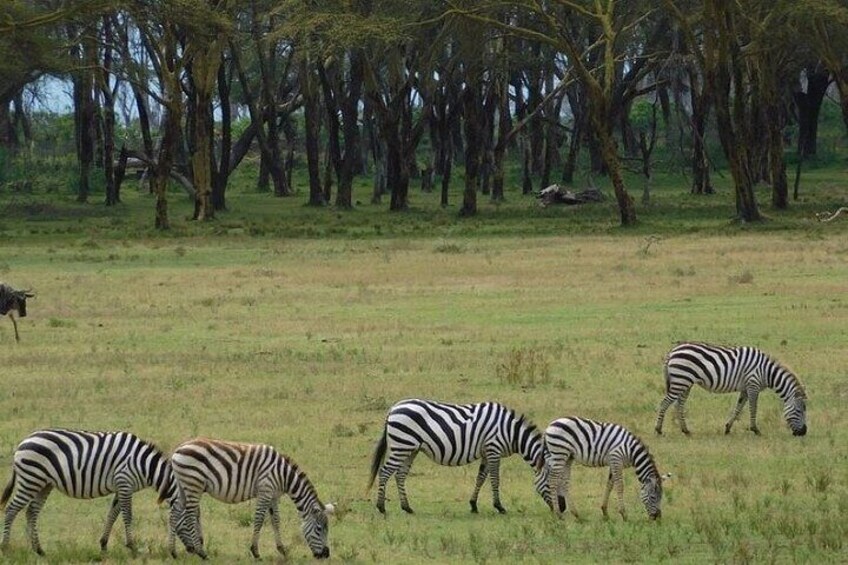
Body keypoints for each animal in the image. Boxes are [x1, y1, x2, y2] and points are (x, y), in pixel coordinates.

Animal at [0, 428, 189, 556]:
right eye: (190, 522)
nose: (192, 551)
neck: (143, 464)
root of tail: (23, 442)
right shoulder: (124, 482)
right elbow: (127, 515)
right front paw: (132, 547)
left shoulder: (121, 486)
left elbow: (112, 515)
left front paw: (104, 545)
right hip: (31, 479)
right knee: (11, 510)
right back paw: (6, 548)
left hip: (43, 483)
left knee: (31, 511)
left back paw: (38, 550)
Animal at [169, 438, 332, 556]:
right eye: (319, 529)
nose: (326, 554)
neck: (283, 475)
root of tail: (178, 448)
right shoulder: (265, 491)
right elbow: (259, 520)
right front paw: (255, 551)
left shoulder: (273, 496)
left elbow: (276, 521)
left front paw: (282, 549)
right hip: (193, 484)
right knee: (189, 515)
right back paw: (201, 552)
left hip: (184, 486)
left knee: (175, 511)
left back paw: (173, 552)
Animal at [368, 396, 548, 516]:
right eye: (551, 483)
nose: (556, 510)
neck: (511, 432)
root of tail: (393, 408)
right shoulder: (493, 449)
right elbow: (495, 479)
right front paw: (499, 506)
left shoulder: (486, 452)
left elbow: (480, 478)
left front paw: (473, 505)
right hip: (401, 445)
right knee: (385, 472)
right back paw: (381, 507)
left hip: (410, 449)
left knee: (400, 475)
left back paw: (407, 507)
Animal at [656, 340, 808, 436]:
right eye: (799, 411)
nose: (803, 433)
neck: (766, 372)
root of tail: (672, 351)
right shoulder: (753, 385)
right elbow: (753, 408)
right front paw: (755, 430)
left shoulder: (745, 388)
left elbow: (738, 408)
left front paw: (728, 428)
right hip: (680, 380)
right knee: (664, 403)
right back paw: (658, 430)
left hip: (685, 383)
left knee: (679, 405)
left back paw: (686, 430)